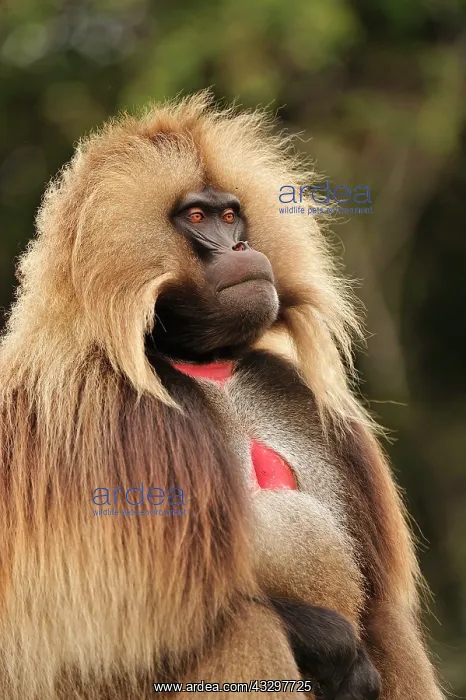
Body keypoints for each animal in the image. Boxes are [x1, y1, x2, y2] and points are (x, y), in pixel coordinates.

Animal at [0, 91, 443, 700]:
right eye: (196, 218)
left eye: (231, 215)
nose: (243, 248)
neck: (196, 361)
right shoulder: (90, 411)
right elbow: (120, 627)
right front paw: (339, 653)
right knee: (242, 625)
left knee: (385, 625)